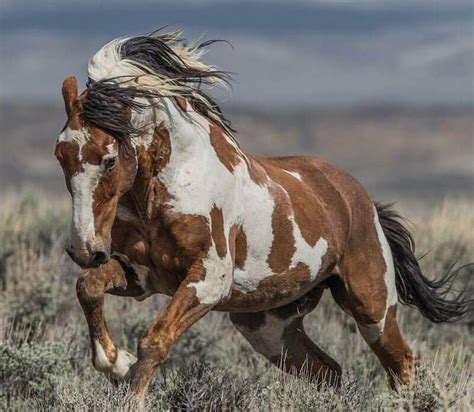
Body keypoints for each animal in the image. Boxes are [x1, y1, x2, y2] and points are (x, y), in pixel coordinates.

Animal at [54, 30, 470, 408]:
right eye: (60, 155)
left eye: (109, 159)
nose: (84, 250)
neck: (164, 189)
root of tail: (361, 201)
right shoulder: (143, 275)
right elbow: (88, 287)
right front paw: (115, 363)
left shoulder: (208, 280)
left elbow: (154, 339)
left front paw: (129, 390)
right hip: (269, 327)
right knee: (329, 371)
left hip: (372, 307)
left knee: (402, 364)